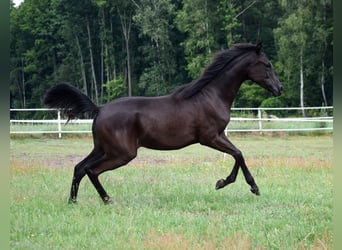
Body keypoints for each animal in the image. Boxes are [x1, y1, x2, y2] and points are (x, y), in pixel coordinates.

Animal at [43, 42, 284, 203]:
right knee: (92, 170)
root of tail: (100, 109)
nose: (279, 88)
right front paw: (242, 185)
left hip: (103, 149)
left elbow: (238, 154)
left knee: (79, 168)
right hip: (122, 154)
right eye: (267, 64)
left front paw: (231, 183)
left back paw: (73, 201)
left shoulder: (220, 135)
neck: (211, 95)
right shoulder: (209, 137)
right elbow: (238, 154)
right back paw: (107, 199)